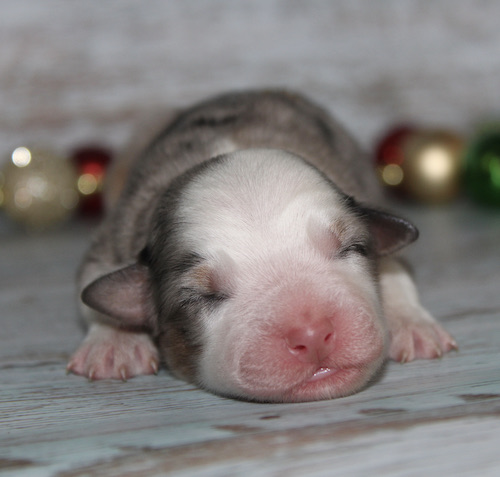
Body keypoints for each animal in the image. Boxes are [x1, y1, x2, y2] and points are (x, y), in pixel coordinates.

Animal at [67, 90, 457, 402]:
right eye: (204, 297)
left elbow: (396, 269)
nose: (312, 335)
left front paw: (410, 323)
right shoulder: (116, 234)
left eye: (351, 249)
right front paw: (114, 345)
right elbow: (93, 279)